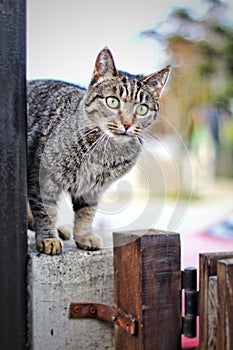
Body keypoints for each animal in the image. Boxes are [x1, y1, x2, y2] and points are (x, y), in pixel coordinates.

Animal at [27, 47, 170, 254]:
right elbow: (46, 211)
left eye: (142, 109)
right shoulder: (42, 178)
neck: (104, 151)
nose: (127, 124)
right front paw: (48, 238)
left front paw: (84, 236)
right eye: (112, 101)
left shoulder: (93, 189)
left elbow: (86, 213)